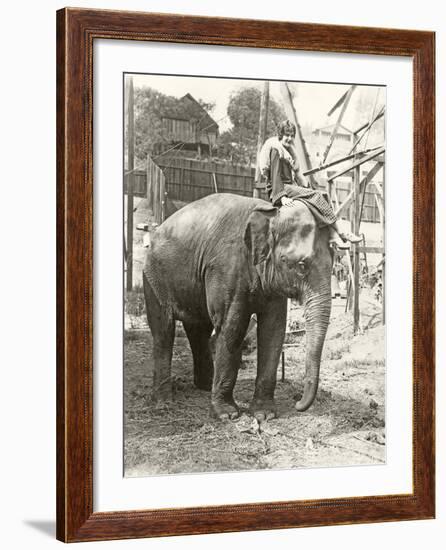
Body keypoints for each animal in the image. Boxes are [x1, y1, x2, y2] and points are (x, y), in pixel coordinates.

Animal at [141, 194, 332, 422]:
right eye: (302, 266)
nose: (297, 404)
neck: (271, 213)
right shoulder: (226, 269)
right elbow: (232, 328)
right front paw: (227, 415)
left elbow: (273, 331)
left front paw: (265, 415)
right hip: (154, 276)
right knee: (164, 330)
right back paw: (163, 402)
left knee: (199, 329)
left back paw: (205, 386)